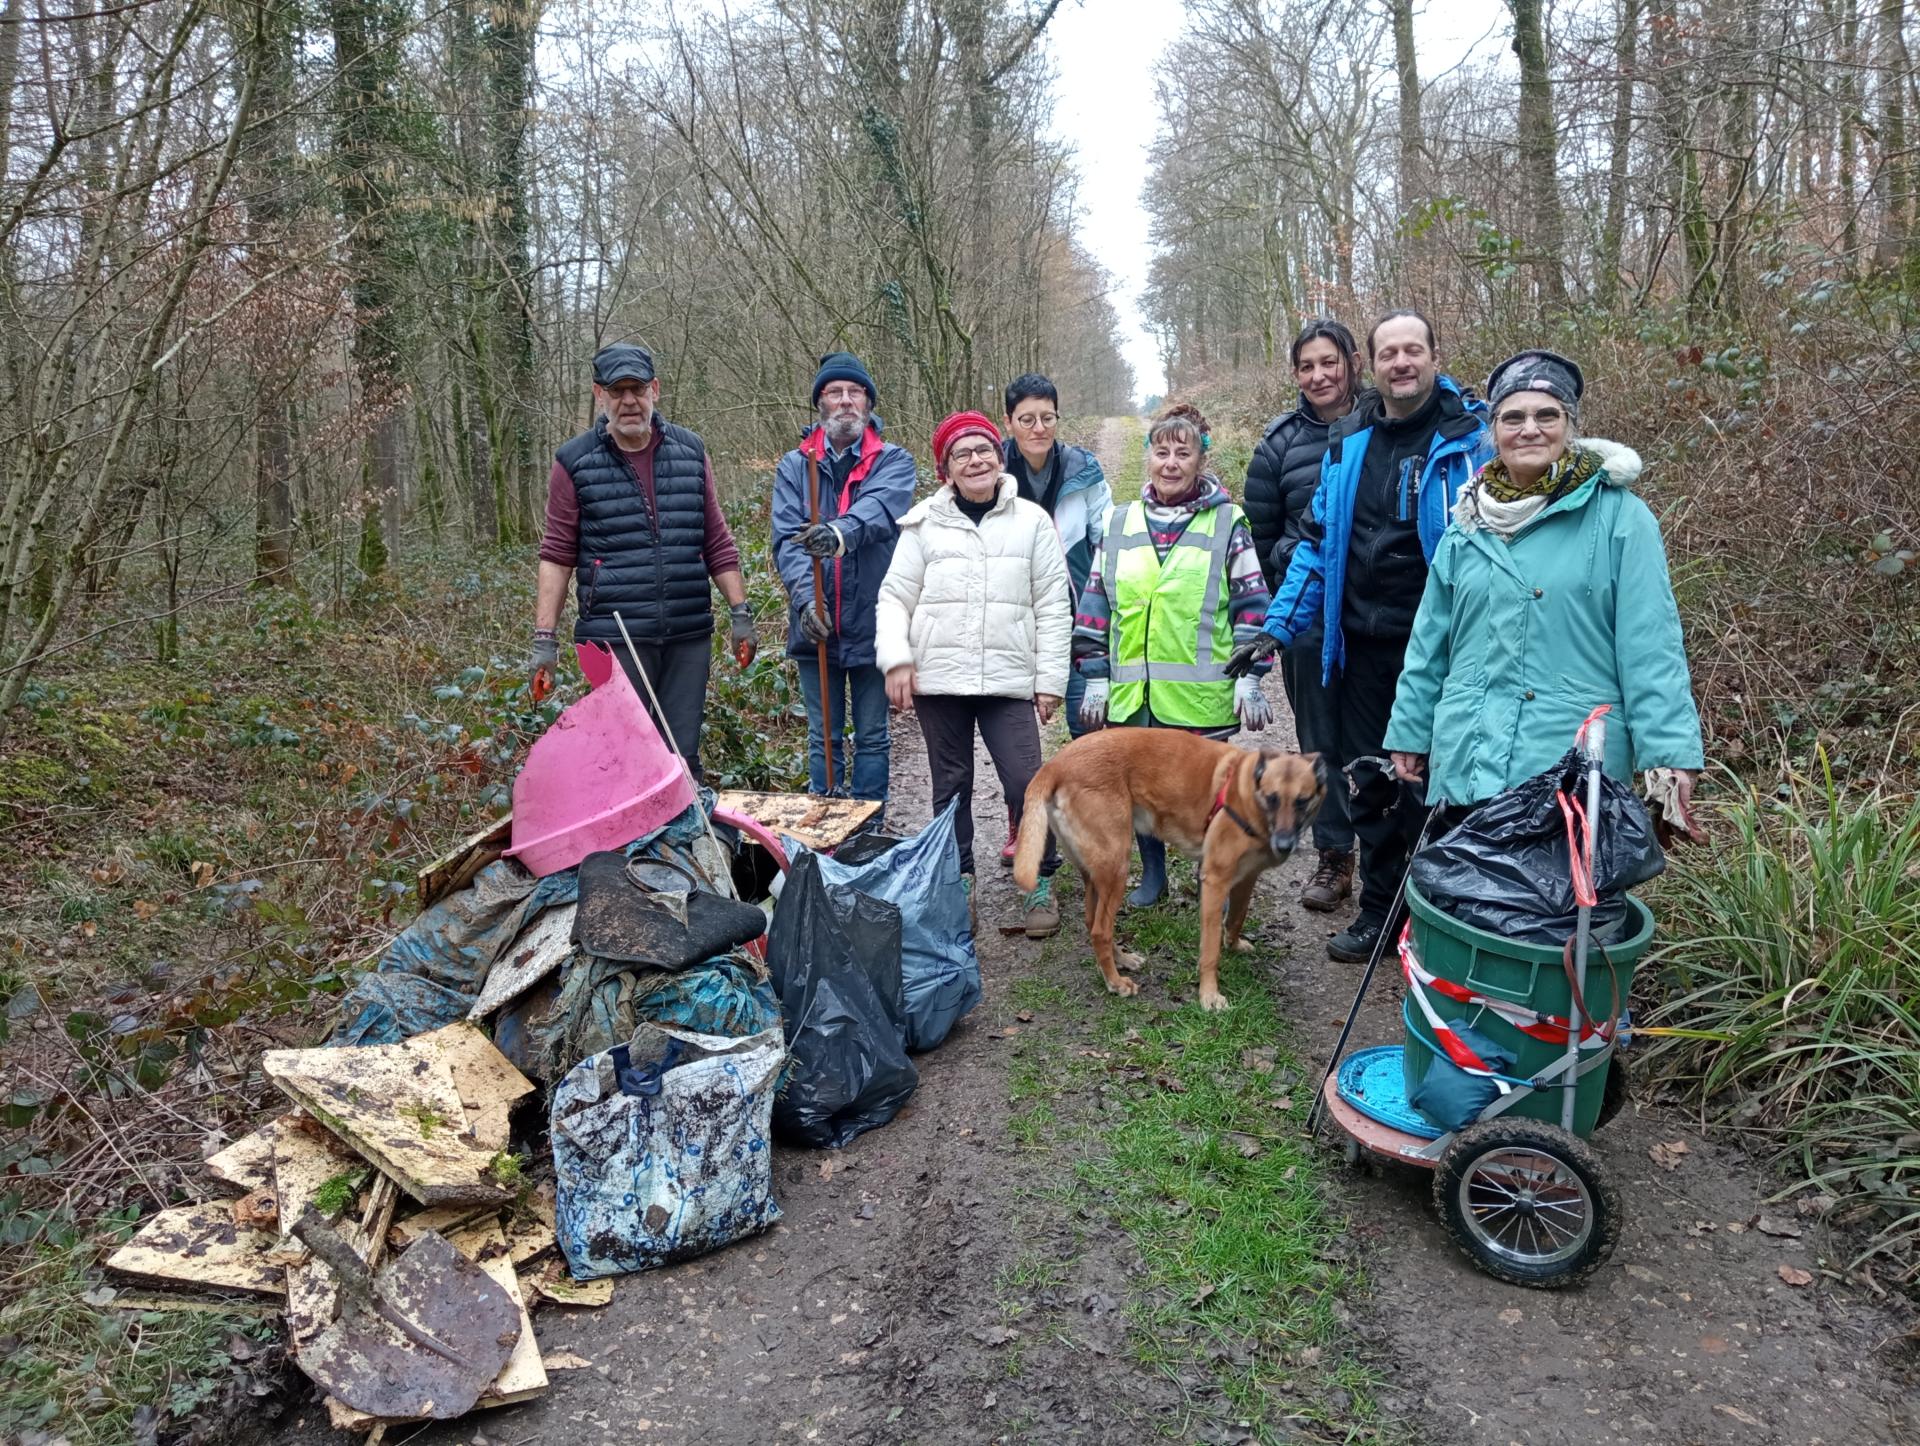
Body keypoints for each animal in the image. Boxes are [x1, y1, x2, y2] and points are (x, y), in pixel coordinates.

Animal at [1013, 725, 1328, 1006]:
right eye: (1272, 798)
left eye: (1302, 801)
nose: (1285, 845)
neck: (1246, 793)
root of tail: (1055, 765)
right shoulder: (1215, 881)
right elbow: (1210, 949)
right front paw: (1209, 996)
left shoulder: (1246, 878)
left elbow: (1237, 917)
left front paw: (1234, 945)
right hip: (1117, 867)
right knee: (1100, 930)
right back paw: (1115, 982)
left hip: (1096, 874)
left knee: (1093, 922)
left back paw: (1121, 960)